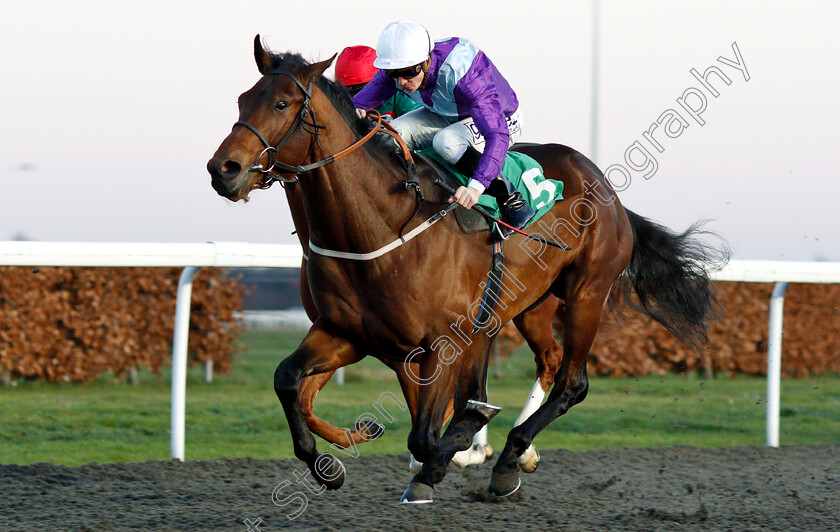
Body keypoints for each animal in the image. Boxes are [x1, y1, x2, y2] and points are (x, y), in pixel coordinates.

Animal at [207, 37, 724, 502]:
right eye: (242, 99)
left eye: (281, 103)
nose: (223, 169)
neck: (380, 227)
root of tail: (604, 185)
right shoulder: (347, 333)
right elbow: (289, 380)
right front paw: (329, 467)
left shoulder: (440, 342)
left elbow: (426, 434)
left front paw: (445, 459)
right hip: (523, 307)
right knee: (549, 361)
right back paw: (512, 455)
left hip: (586, 293)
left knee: (571, 382)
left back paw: (510, 458)